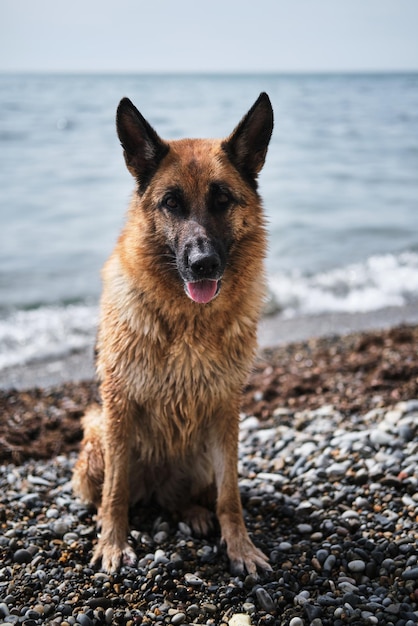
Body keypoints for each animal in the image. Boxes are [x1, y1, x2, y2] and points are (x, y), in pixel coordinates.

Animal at [72, 90, 274, 572]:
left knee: (183, 497)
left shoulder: (225, 410)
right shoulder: (119, 406)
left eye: (222, 200)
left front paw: (240, 546)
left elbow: (230, 496)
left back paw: (193, 512)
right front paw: (112, 543)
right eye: (171, 203)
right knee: (117, 492)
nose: (203, 265)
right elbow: (116, 493)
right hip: (96, 436)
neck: (187, 321)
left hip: (199, 456)